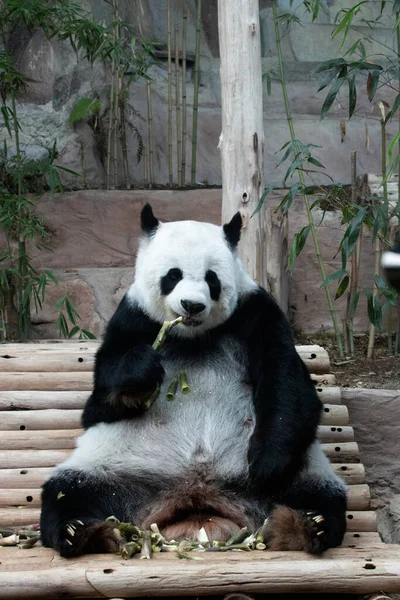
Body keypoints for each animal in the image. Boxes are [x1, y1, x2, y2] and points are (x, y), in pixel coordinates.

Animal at [39, 204, 346, 556]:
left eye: (212, 279)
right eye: (173, 275)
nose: (192, 305)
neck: (192, 336)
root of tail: (197, 496)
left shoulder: (256, 313)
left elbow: (288, 385)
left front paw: (267, 464)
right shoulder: (132, 318)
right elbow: (100, 403)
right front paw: (141, 373)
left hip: (300, 469)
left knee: (318, 495)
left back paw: (309, 525)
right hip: (112, 466)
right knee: (68, 492)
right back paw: (79, 531)